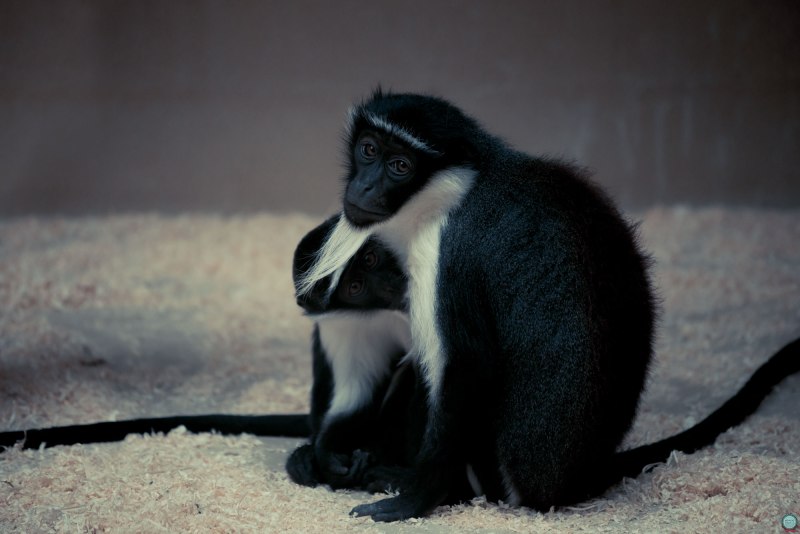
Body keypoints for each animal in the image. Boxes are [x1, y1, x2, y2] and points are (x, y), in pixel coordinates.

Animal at [295, 89, 800, 522]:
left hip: (490, 471)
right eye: (367, 150)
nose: (363, 187)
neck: (461, 185)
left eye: (400, 166)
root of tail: (573, 482)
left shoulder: (444, 255)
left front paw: (413, 501)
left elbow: (466, 370)